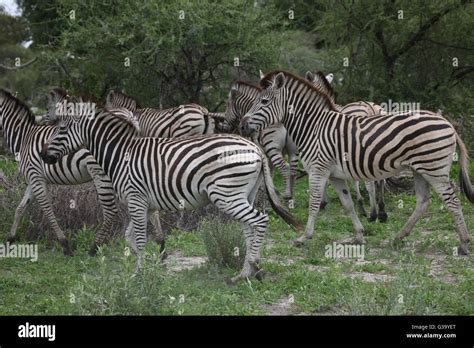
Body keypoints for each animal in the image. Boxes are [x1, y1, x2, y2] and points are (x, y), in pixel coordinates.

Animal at [0, 87, 120, 256]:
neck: (23, 137)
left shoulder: (36, 177)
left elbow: (48, 211)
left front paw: (65, 245)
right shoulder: (33, 179)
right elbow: (20, 209)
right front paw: (9, 240)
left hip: (101, 174)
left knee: (110, 210)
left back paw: (94, 248)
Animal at [41, 106, 300, 282]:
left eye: (61, 129)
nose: (43, 155)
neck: (120, 154)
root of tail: (255, 147)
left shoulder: (136, 200)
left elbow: (140, 240)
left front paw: (139, 273)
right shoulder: (145, 204)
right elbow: (130, 238)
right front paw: (152, 265)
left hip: (227, 195)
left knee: (261, 220)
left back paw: (254, 268)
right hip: (243, 194)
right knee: (250, 227)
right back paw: (244, 273)